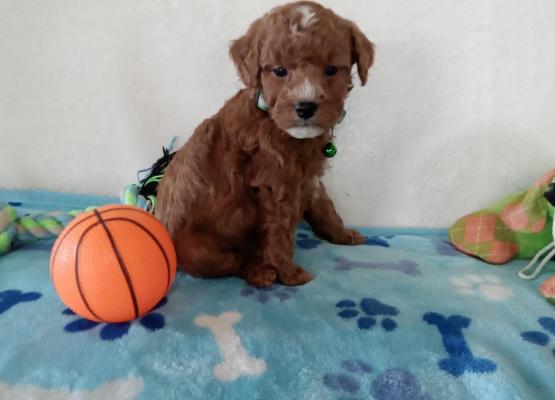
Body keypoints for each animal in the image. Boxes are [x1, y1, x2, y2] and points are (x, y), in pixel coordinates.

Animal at [156, 1, 374, 287]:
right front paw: (290, 274)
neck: (274, 121)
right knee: (233, 262)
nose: (305, 107)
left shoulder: (309, 176)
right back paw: (260, 271)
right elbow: (280, 234)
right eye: (279, 71)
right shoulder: (276, 185)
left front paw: (341, 233)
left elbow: (324, 205)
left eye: (331, 70)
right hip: (202, 250)